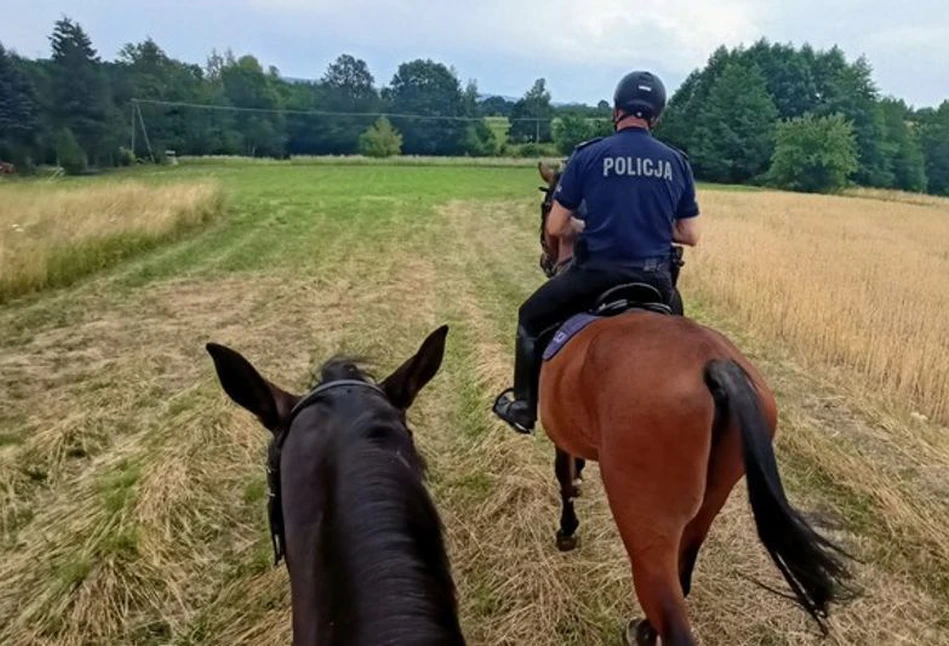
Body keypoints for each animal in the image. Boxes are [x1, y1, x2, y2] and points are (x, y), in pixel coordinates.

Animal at [532, 165, 852, 644]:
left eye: (546, 205)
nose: (545, 259)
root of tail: (716, 365)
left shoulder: (559, 430)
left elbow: (565, 478)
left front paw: (567, 530)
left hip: (646, 521)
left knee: (670, 603)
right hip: (710, 502)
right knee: (683, 575)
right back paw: (645, 629)